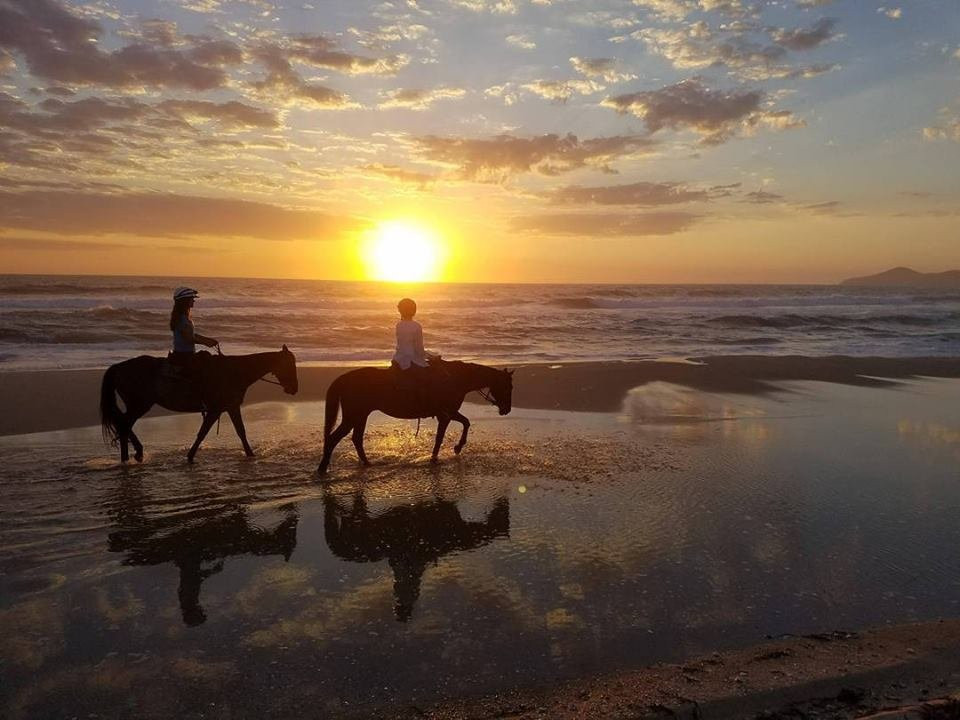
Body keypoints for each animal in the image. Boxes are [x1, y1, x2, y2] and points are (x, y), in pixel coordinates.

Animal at [100, 346, 298, 464]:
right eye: (289, 365)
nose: (294, 388)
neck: (234, 371)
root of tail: (119, 367)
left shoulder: (230, 407)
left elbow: (240, 431)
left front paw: (250, 455)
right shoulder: (217, 409)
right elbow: (203, 432)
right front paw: (190, 456)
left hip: (137, 405)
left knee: (123, 425)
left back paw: (134, 455)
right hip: (139, 404)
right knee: (124, 425)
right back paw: (129, 457)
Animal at [316, 358, 512, 472]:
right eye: (507, 387)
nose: (506, 410)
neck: (455, 378)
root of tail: (344, 378)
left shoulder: (447, 413)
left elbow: (464, 423)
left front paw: (451, 450)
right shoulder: (446, 414)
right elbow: (447, 433)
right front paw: (448, 452)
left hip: (361, 415)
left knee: (356, 438)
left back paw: (367, 464)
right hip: (353, 416)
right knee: (334, 438)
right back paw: (323, 467)